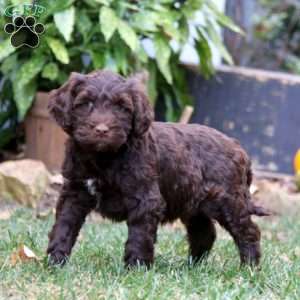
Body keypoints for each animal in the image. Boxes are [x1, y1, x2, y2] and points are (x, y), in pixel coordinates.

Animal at [47, 69, 270, 268]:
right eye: (86, 103)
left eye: (122, 107)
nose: (102, 130)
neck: (104, 158)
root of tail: (238, 147)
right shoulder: (75, 192)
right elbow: (64, 225)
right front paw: (55, 262)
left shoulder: (145, 199)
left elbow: (139, 235)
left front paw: (136, 268)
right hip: (193, 202)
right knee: (204, 232)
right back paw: (192, 267)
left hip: (228, 200)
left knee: (248, 231)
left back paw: (249, 268)